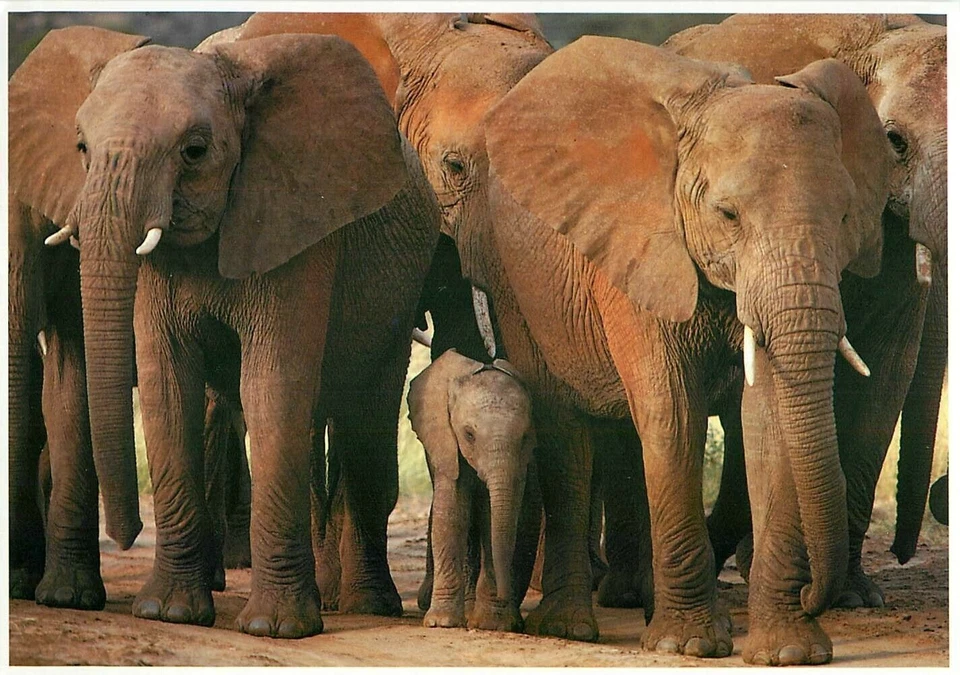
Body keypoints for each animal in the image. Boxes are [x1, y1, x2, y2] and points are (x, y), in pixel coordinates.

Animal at [9, 25, 440, 637]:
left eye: (194, 151)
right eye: (81, 148)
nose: (127, 534)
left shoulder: (294, 222)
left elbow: (271, 385)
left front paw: (277, 629)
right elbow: (168, 388)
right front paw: (168, 614)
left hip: (398, 291)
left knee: (366, 417)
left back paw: (365, 607)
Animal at [409, 350, 538, 632]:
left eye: (525, 437)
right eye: (468, 434)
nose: (505, 595)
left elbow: (494, 520)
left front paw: (493, 623)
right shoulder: (446, 442)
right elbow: (451, 515)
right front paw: (441, 623)